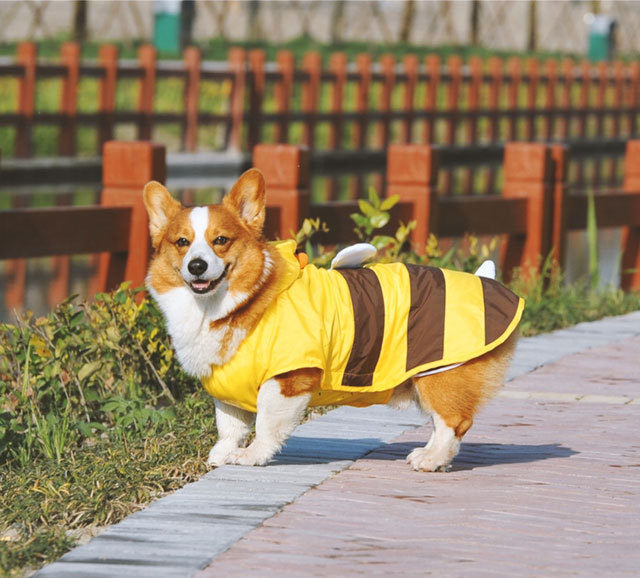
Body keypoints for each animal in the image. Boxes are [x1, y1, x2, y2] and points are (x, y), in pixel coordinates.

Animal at [141, 169, 520, 470]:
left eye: (220, 240)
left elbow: (266, 424)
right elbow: (230, 426)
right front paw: (222, 454)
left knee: (453, 421)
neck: (228, 304)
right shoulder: (229, 390)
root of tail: (487, 282)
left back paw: (430, 459)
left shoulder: (288, 380)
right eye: (182, 242)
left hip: (439, 376)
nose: (197, 266)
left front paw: (252, 456)